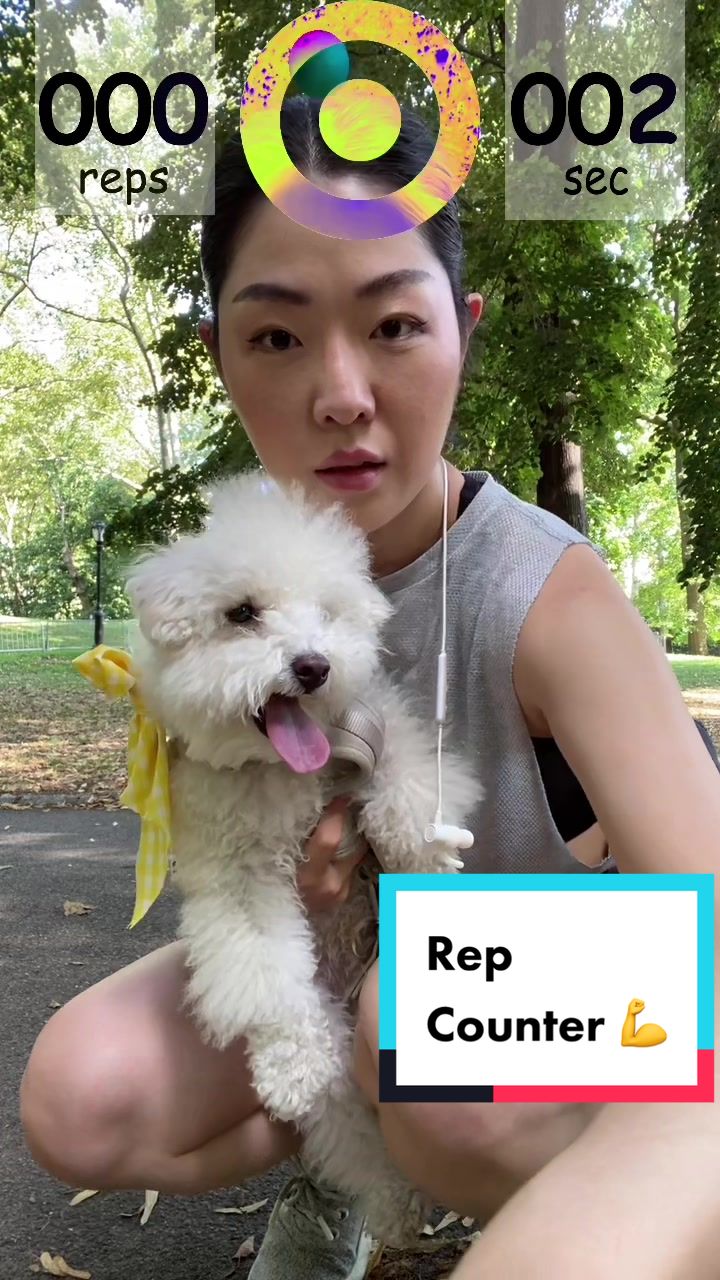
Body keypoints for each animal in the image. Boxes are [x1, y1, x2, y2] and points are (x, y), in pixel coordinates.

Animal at [125, 470, 481, 1246]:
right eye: (243, 613)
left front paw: (429, 854)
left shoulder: (381, 731)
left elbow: (409, 785)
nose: (313, 666)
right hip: (344, 1083)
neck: (279, 770)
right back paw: (393, 1208)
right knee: (357, 1143)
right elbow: (265, 973)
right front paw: (290, 1066)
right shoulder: (237, 879)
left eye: (327, 613)